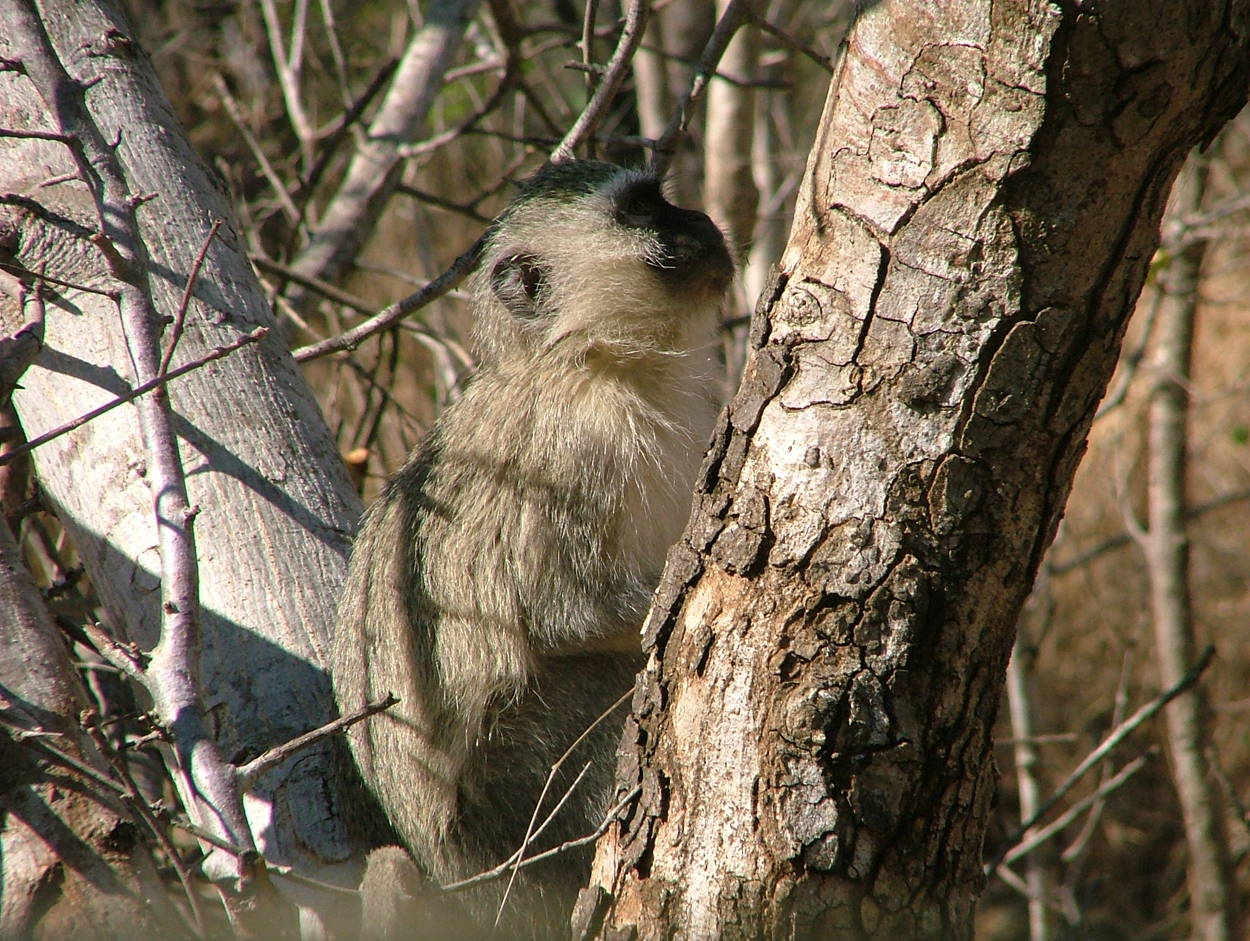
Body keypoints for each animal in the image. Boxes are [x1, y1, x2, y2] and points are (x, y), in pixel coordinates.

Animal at [335, 161, 730, 934]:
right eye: (642, 213)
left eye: (660, 197)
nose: (701, 220)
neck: (590, 358)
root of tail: (456, 873)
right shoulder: (573, 448)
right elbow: (559, 613)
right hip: (522, 797)